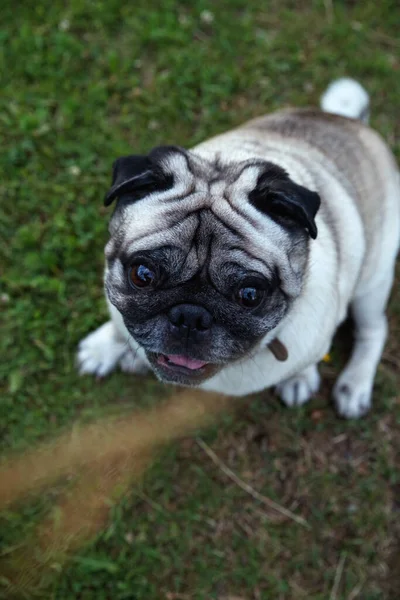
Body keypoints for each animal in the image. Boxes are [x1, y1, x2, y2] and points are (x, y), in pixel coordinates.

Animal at [76, 78, 398, 418]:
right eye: (143, 275)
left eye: (250, 295)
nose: (190, 316)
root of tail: (349, 121)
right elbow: (117, 326)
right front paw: (103, 347)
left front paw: (299, 377)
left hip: (372, 284)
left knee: (375, 330)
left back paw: (355, 385)